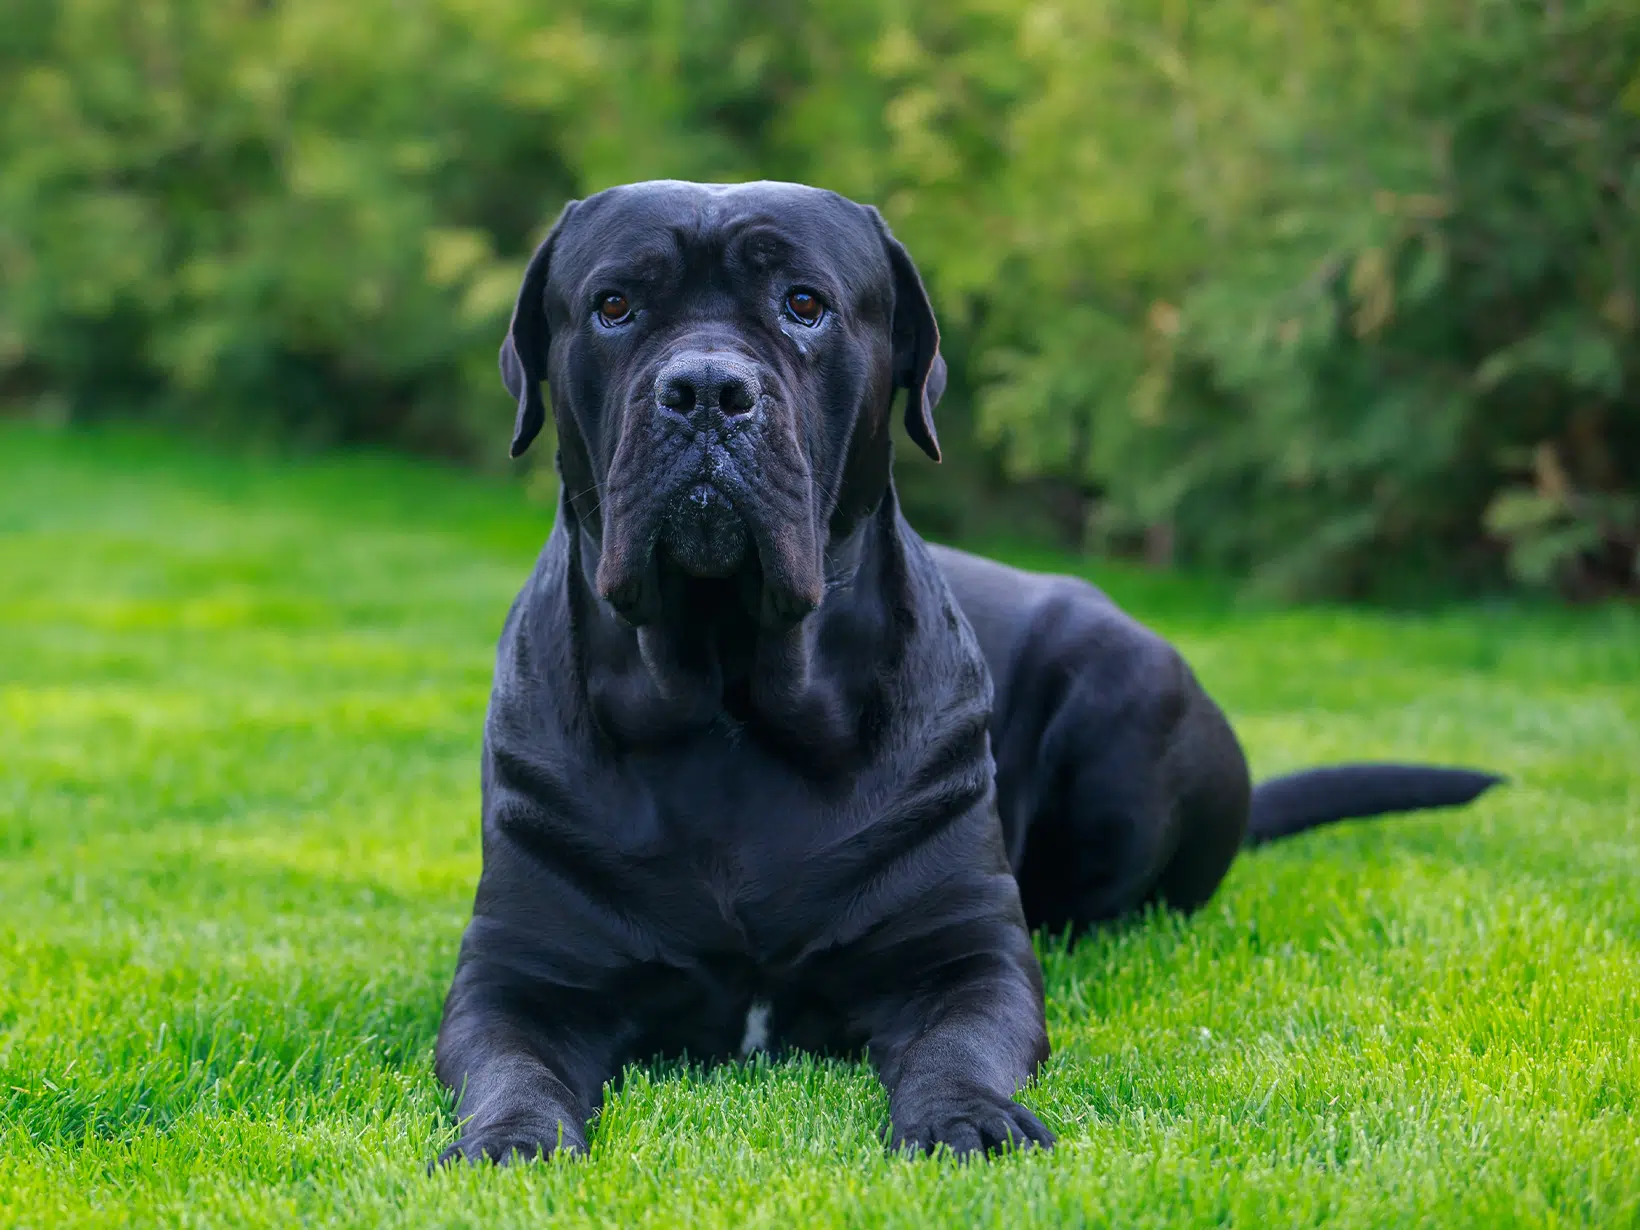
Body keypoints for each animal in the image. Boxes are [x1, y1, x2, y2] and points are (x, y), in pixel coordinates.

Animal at [432, 177, 1502, 1167]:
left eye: (804, 303)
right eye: (615, 306)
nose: (705, 390)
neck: (731, 702)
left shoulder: (965, 957)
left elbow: (960, 1043)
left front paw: (968, 1119)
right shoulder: (518, 976)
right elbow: (512, 1066)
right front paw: (509, 1139)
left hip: (1129, 698)